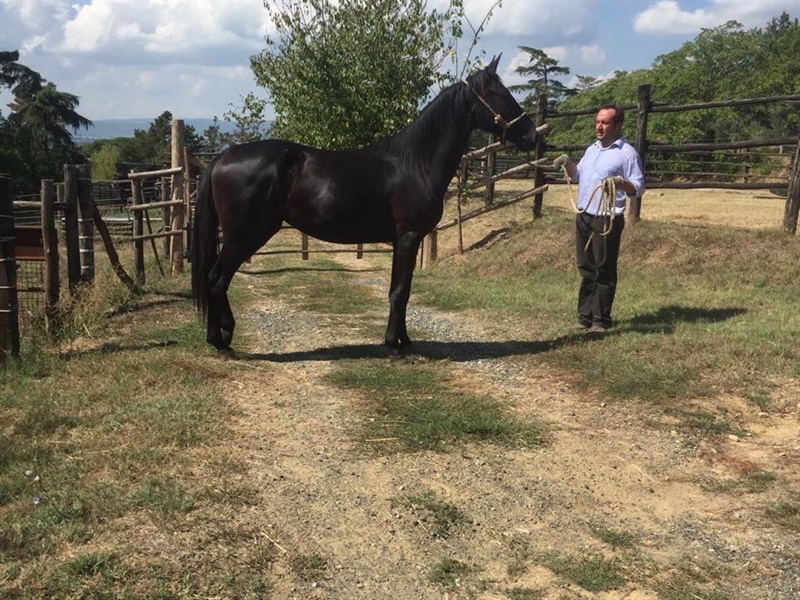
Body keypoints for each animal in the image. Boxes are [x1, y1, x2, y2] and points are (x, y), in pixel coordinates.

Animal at [191, 56, 538, 358]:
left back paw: (224, 334)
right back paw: (220, 343)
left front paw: (405, 341)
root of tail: (223, 156)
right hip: (244, 235)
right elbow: (399, 291)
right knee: (217, 279)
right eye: (499, 93)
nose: (534, 137)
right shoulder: (408, 237)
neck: (415, 162)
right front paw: (394, 347)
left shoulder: (403, 241)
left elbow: (403, 290)